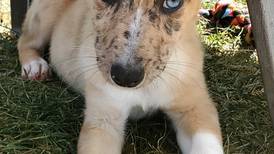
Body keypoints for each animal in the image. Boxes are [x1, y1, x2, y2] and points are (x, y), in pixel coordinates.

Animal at [17, 0, 224, 153]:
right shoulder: (103, 119)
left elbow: (207, 146)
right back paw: (34, 65)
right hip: (46, 13)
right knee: (25, 39)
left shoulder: (195, 107)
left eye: (172, 3)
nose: (125, 77)